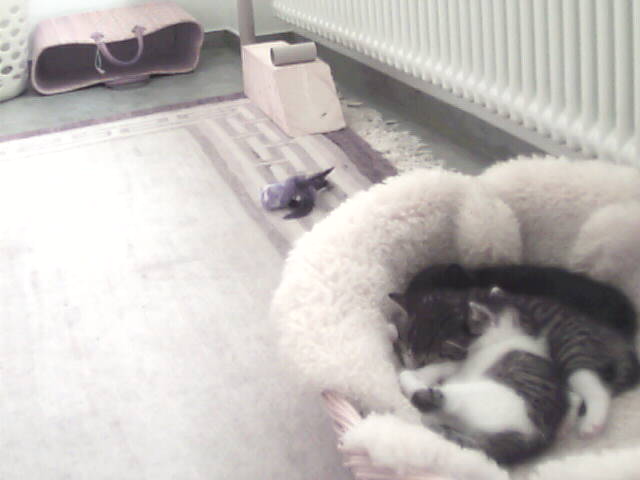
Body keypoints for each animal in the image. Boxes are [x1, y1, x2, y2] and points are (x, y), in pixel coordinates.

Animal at [399, 295, 569, 465]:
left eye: (469, 325)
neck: (518, 335)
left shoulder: (468, 367)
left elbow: (446, 366)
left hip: (476, 395)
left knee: (436, 399)